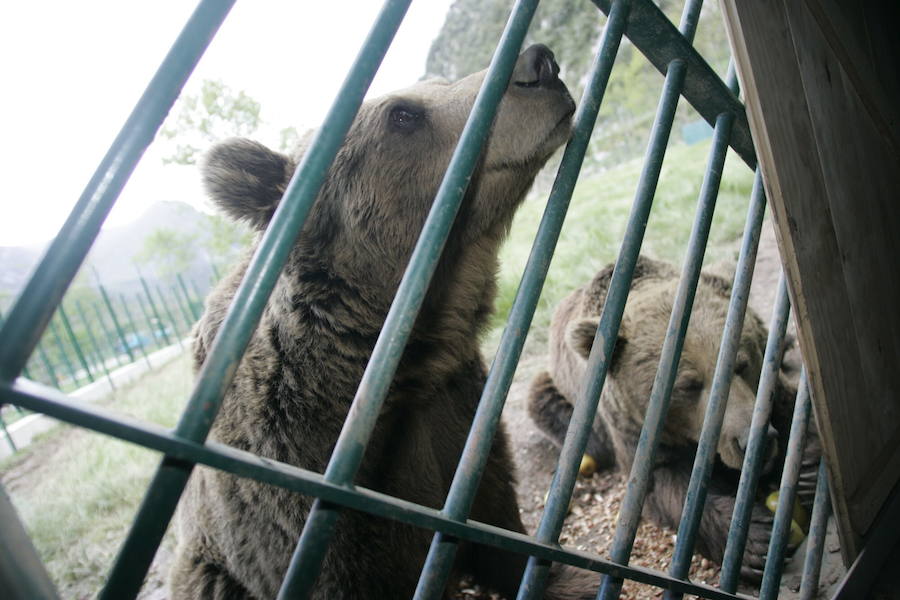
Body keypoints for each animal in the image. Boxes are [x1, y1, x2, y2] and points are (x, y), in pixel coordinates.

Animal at [170, 45, 604, 600]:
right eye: (402, 115)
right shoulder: (307, 491)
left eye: (436, 84)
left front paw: (567, 577)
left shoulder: (454, 410)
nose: (539, 64)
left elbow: (492, 510)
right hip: (209, 568)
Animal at [528, 256, 824, 580]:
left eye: (742, 363)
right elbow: (667, 488)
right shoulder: (636, 431)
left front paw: (808, 470)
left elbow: (791, 407)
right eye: (689, 385)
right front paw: (752, 542)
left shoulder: (763, 389)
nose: (753, 441)